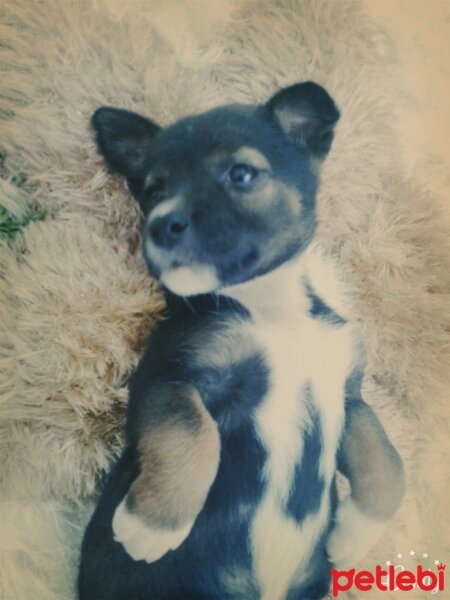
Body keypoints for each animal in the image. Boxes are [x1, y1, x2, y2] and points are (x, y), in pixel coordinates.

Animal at [77, 81, 404, 600]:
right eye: (154, 191)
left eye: (242, 174)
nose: (160, 224)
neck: (271, 307)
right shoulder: (170, 375)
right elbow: (192, 434)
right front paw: (153, 523)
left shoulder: (350, 396)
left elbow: (390, 461)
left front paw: (355, 533)